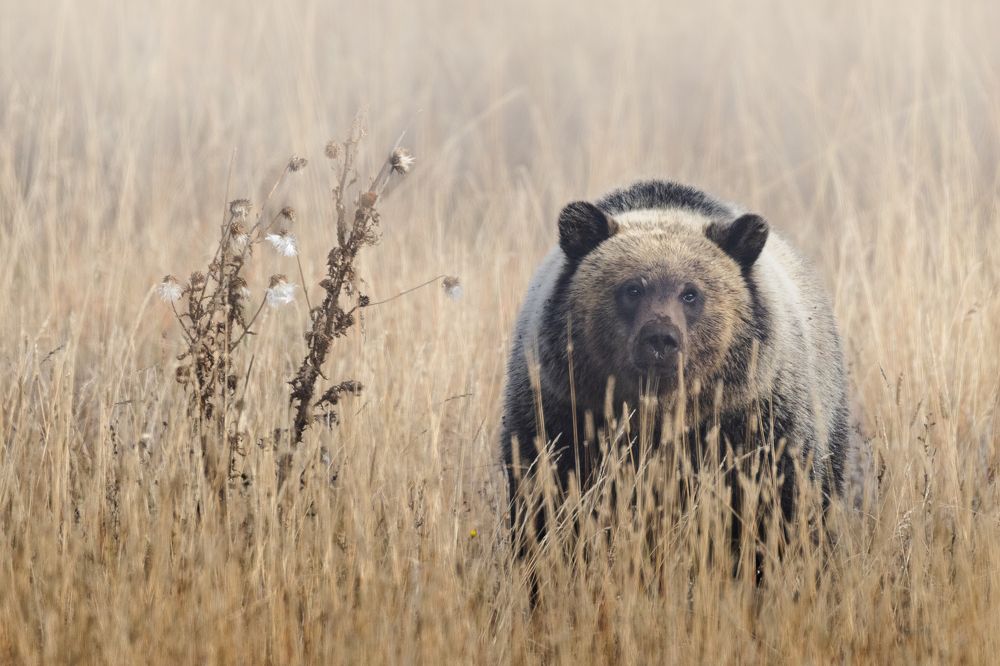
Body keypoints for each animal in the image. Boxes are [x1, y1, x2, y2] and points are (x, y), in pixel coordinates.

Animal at [501, 180, 851, 575]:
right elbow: (547, 506)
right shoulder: (562, 416)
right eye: (632, 288)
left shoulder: (754, 428)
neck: (659, 415)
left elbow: (774, 513)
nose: (660, 339)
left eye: (691, 293)